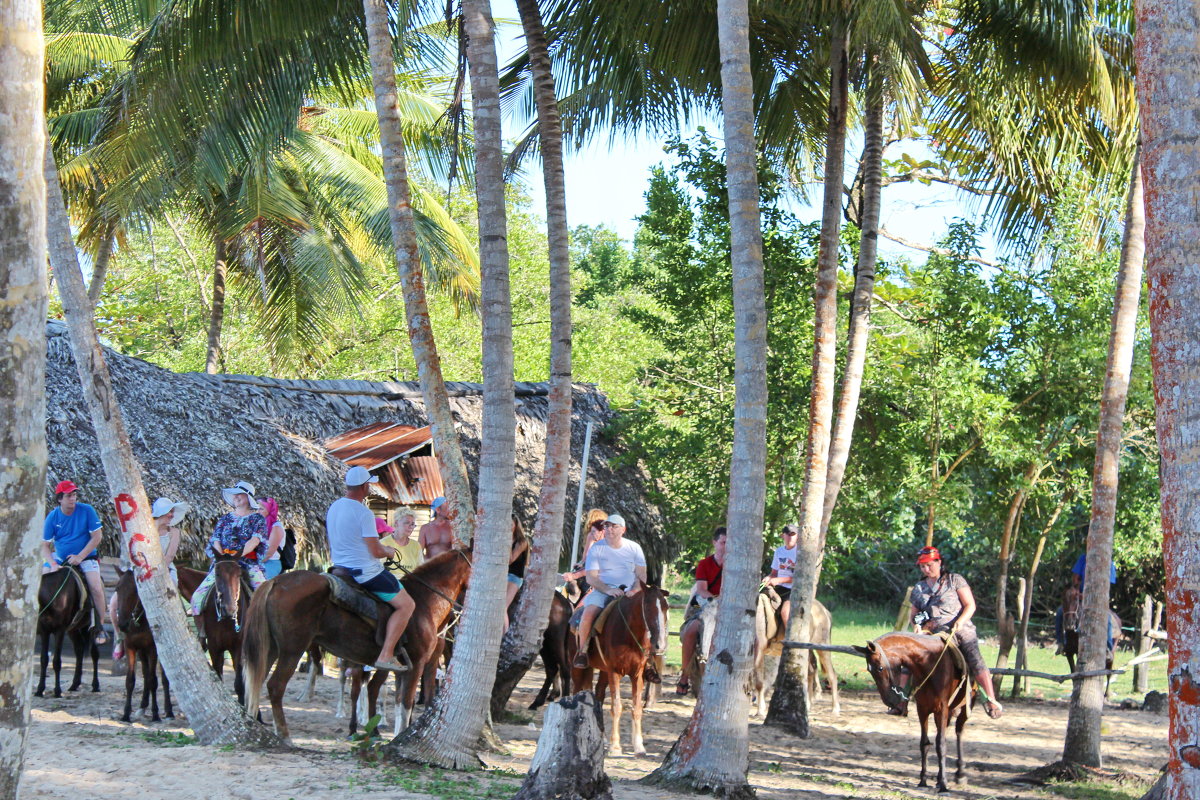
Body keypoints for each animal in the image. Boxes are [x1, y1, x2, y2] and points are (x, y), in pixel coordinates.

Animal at [34, 566, 99, 695]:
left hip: (91, 627)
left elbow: (56, 661)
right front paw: (40, 689)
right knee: (79, 649)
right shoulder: (44, 631)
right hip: (73, 630)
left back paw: (95, 685)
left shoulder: (60, 630)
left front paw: (57, 691)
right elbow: (44, 659)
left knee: (94, 653)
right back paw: (74, 684)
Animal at [240, 551, 472, 743]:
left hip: (270, 650)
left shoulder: (402, 669)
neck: (425, 602)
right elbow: (406, 703)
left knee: (254, 681)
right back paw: (285, 735)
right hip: (292, 650)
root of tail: (276, 582)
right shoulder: (417, 664)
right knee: (275, 686)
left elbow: (398, 702)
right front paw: (400, 735)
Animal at [568, 587, 672, 758]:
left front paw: (639, 746)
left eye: (665, 607)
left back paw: (602, 737)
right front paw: (615, 746)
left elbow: (636, 708)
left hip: (604, 671)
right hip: (577, 666)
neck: (629, 634)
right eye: (648, 607)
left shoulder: (637, 674)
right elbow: (616, 707)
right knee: (576, 690)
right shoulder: (614, 672)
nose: (660, 645)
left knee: (599, 694)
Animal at [859, 633, 969, 796]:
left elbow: (941, 744)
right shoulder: (922, 709)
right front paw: (923, 781)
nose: (890, 701)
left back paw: (960, 773)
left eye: (880, 668)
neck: (929, 663)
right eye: (869, 670)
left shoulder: (942, 709)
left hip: (964, 707)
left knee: (959, 732)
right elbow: (924, 743)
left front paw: (944, 785)